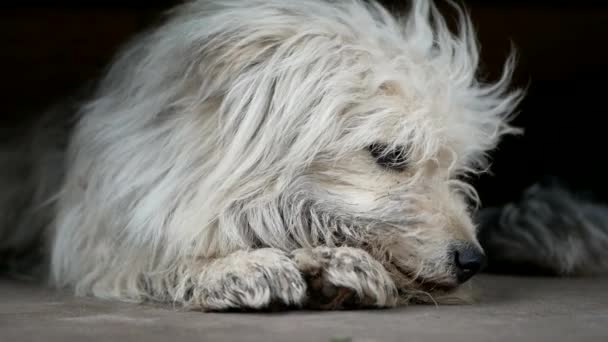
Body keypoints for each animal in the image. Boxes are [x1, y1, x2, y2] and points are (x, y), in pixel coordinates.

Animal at [1, 0, 528, 310]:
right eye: (390, 154)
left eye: (458, 166)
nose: (473, 260)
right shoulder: (99, 238)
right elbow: (156, 253)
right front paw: (236, 267)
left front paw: (345, 266)